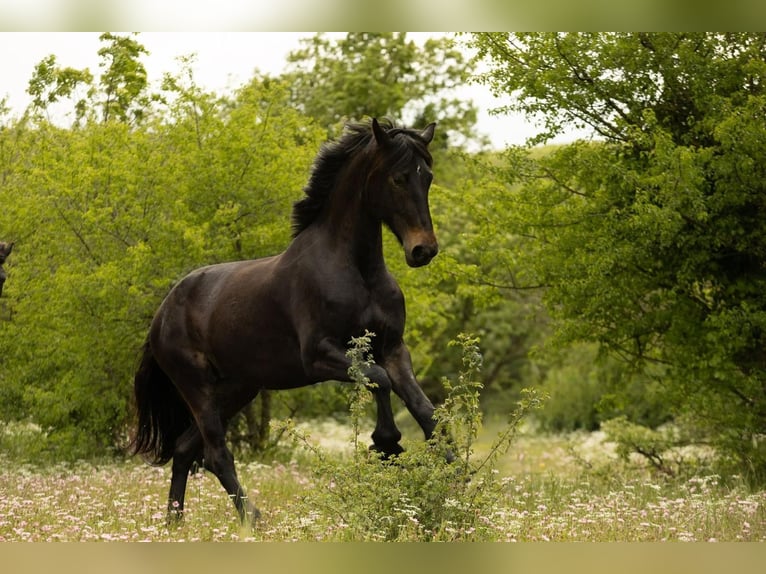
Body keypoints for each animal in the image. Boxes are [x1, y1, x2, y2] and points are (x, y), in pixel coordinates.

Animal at [130, 118, 441, 525]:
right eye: (399, 178)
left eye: (428, 176)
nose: (423, 250)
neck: (357, 270)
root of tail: (162, 314)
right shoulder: (320, 356)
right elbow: (378, 380)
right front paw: (387, 445)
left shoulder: (392, 349)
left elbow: (426, 411)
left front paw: (455, 474)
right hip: (196, 387)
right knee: (216, 455)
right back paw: (254, 520)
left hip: (237, 389)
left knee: (184, 449)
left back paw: (174, 523)